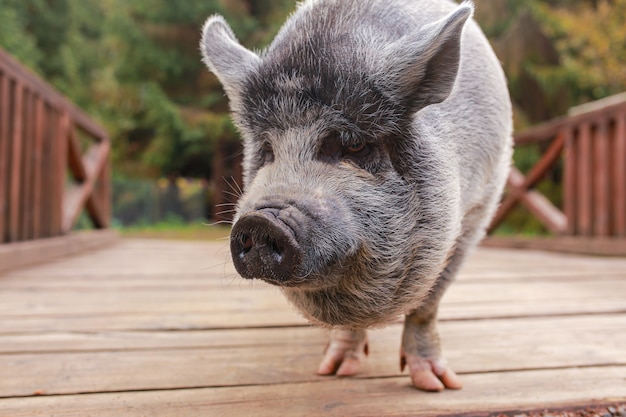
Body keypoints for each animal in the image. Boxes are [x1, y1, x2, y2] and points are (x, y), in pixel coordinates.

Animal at [200, 0, 512, 390]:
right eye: (268, 150)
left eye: (353, 146)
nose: (261, 220)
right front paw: (334, 371)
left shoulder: (477, 211)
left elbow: (429, 303)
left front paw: (438, 385)